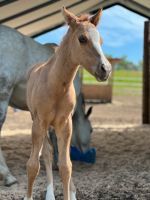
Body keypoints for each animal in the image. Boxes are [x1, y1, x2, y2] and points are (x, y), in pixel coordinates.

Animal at [24, 7, 111, 200]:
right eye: (82, 38)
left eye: (101, 40)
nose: (106, 69)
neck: (55, 85)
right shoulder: (39, 123)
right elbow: (33, 164)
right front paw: (28, 196)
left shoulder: (65, 124)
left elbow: (66, 166)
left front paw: (70, 193)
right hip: (38, 122)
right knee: (47, 154)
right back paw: (49, 193)